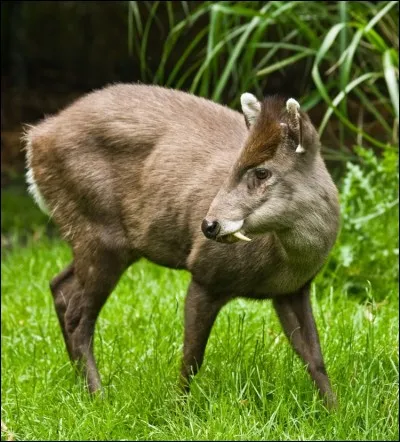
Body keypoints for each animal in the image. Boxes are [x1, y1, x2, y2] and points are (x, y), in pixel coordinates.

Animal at [23, 83, 340, 408]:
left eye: (262, 171)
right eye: (234, 167)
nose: (209, 225)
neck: (283, 263)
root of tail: (36, 139)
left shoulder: (293, 290)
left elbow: (314, 357)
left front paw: (333, 410)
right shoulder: (206, 273)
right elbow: (192, 357)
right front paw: (179, 408)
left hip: (100, 240)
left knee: (60, 286)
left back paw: (82, 385)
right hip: (98, 231)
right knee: (77, 316)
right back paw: (99, 396)